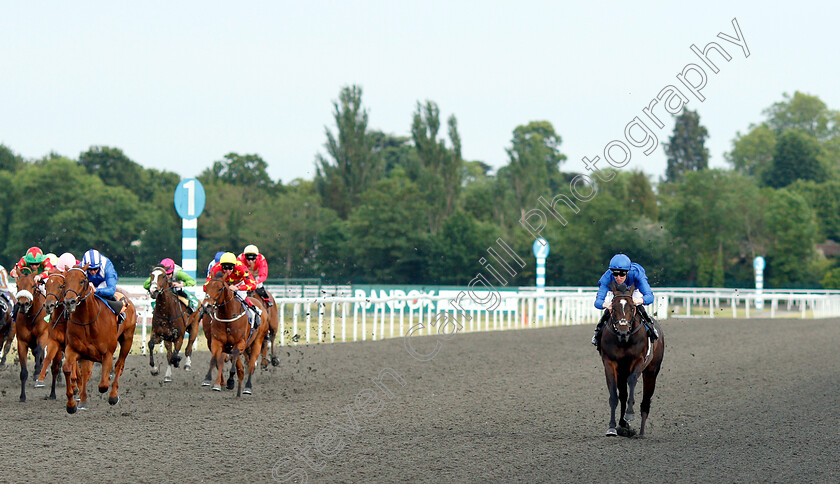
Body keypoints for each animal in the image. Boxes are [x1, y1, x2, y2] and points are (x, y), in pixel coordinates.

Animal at [13, 272, 50, 400]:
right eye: (17, 285)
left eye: (33, 285)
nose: (23, 304)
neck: (30, 317)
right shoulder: (21, 342)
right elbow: (24, 371)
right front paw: (22, 396)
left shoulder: (44, 335)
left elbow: (39, 350)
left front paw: (38, 373)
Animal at [61, 264, 136, 412]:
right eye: (65, 282)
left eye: (82, 281)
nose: (69, 302)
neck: (88, 322)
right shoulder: (75, 349)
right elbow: (67, 368)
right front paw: (71, 404)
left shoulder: (107, 353)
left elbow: (103, 385)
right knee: (85, 373)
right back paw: (83, 400)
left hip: (127, 339)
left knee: (119, 365)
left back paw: (113, 396)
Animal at [600, 282, 668, 436]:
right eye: (614, 307)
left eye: (632, 307)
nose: (623, 330)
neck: (624, 340)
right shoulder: (610, 364)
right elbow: (614, 395)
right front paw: (612, 427)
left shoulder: (638, 361)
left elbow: (632, 381)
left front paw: (630, 414)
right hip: (622, 372)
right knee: (623, 395)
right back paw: (623, 425)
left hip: (651, 371)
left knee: (646, 399)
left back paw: (641, 432)